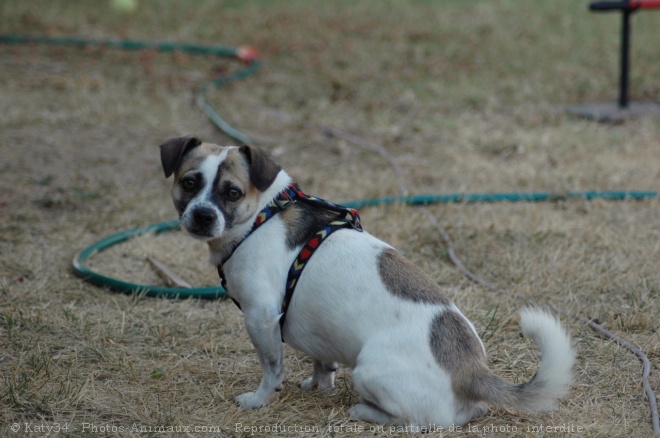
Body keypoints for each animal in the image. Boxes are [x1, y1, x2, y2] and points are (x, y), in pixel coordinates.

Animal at [159, 136, 572, 428]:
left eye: (232, 192)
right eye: (189, 183)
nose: (202, 215)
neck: (262, 215)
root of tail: (472, 371)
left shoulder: (260, 318)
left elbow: (271, 368)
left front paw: (260, 400)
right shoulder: (314, 330)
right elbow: (321, 361)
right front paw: (319, 385)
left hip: (367, 371)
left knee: (415, 421)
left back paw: (365, 411)